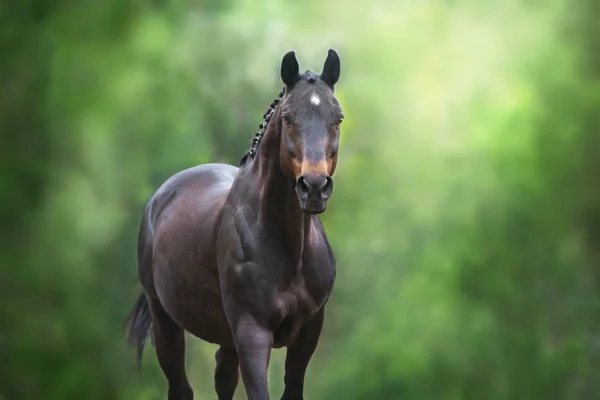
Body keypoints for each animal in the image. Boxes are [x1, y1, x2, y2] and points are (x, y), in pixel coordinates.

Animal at [124, 50, 344, 400]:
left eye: (337, 118)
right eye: (287, 118)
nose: (313, 187)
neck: (288, 249)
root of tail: (159, 198)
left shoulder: (308, 331)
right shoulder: (251, 333)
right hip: (166, 325)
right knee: (180, 387)